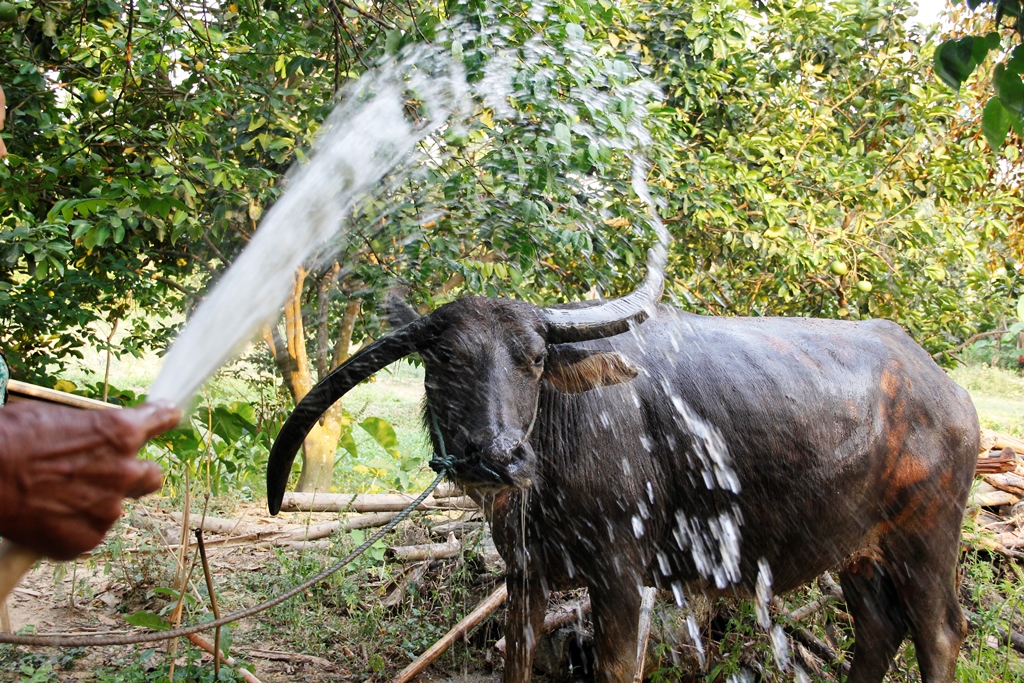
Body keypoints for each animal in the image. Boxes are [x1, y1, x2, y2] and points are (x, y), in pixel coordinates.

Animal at [264, 262, 974, 683]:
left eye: (532, 359)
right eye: (446, 359)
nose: (499, 456)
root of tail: (945, 389)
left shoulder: (624, 578)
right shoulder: (525, 575)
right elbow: (518, 664)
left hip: (928, 538)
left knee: (939, 632)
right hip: (855, 549)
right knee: (879, 628)